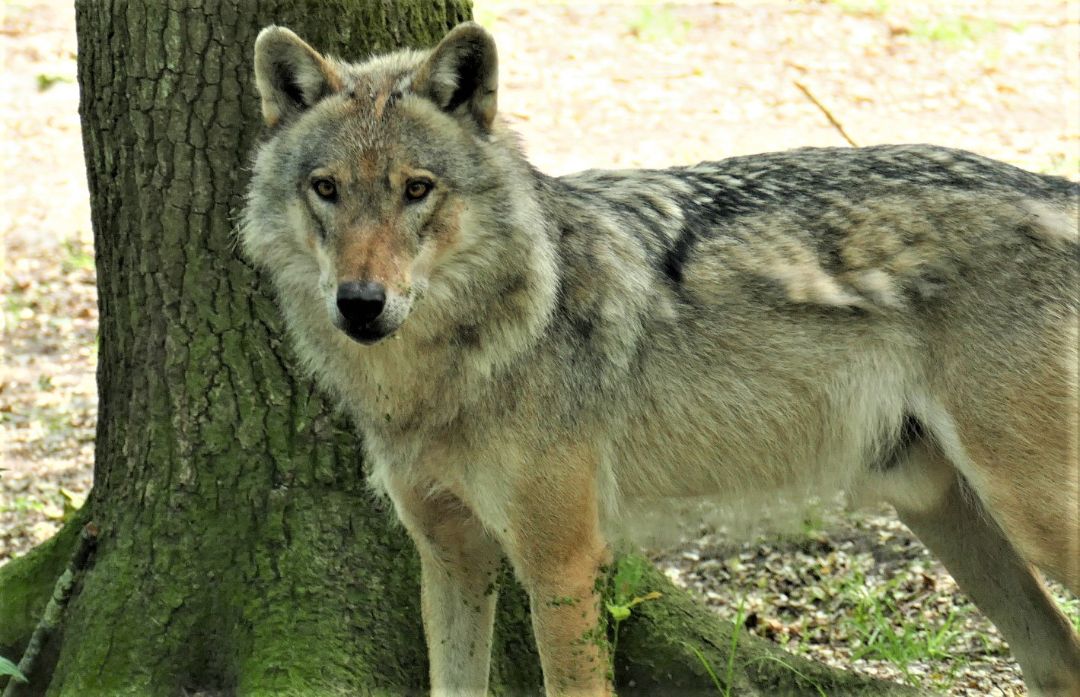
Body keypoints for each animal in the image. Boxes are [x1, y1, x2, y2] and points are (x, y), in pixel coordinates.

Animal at [240, 21, 1080, 697]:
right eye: (326, 189)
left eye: (417, 190)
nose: (360, 302)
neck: (452, 369)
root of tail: (1059, 189)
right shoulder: (451, 555)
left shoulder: (562, 562)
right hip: (943, 510)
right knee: (1057, 660)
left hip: (1032, 515)